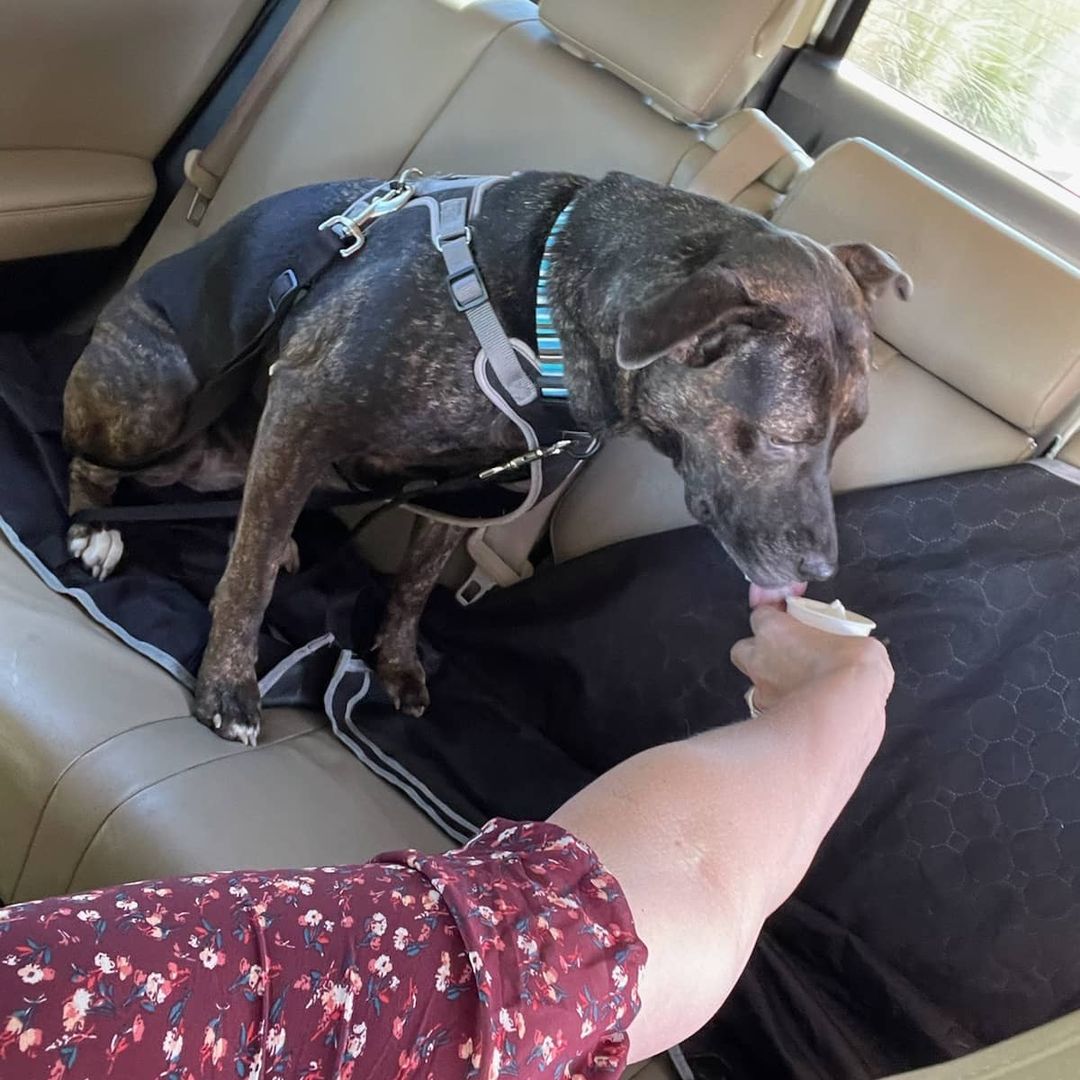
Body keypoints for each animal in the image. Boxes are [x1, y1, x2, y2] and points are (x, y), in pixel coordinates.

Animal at [63, 170, 911, 743]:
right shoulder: (303, 406)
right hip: (157, 395)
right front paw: (230, 686)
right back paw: (92, 526)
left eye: (852, 430)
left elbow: (413, 585)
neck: (540, 298)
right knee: (89, 459)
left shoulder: (463, 490)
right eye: (787, 437)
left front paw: (397, 664)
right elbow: (245, 584)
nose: (824, 569)